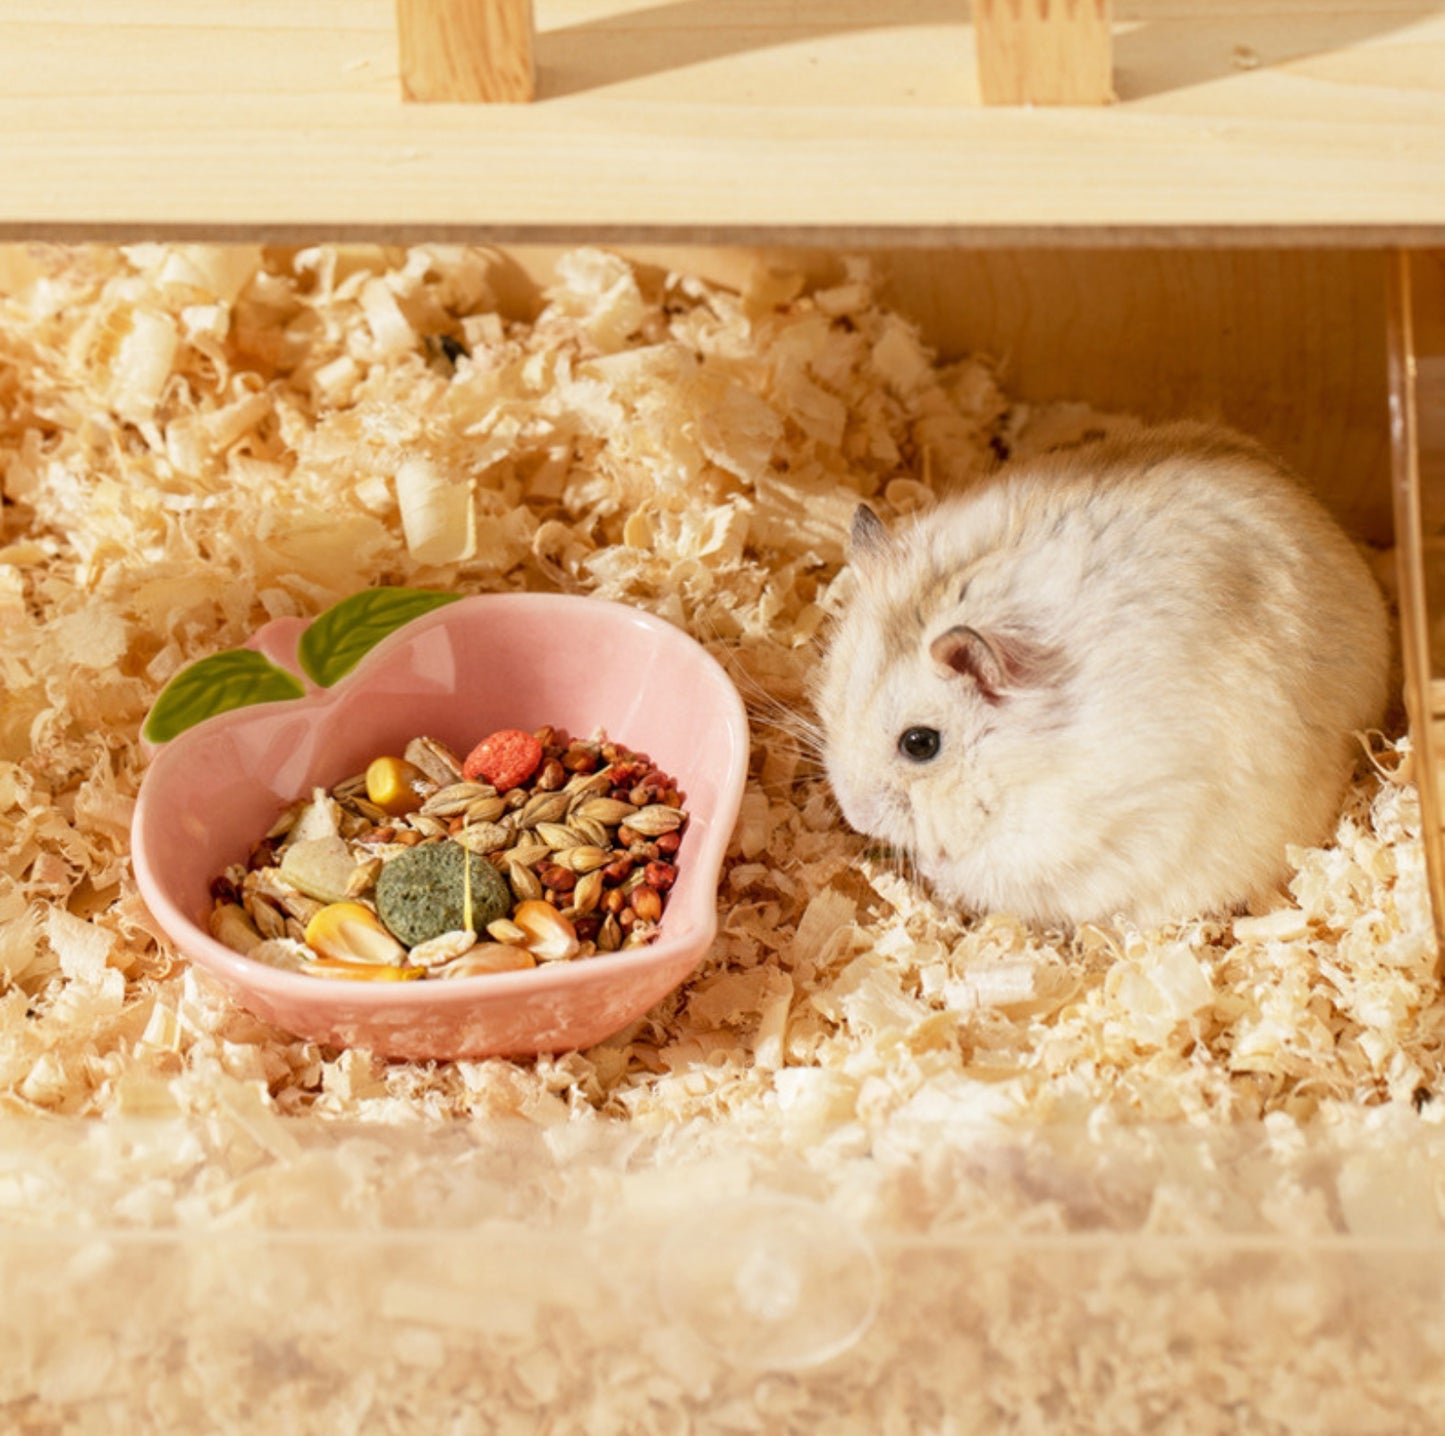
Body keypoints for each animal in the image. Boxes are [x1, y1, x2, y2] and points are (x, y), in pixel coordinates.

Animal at [814, 418, 1387, 924]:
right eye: (838, 700)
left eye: (919, 744)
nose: (854, 815)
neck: (1028, 760)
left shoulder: (1090, 837)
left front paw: (934, 866)